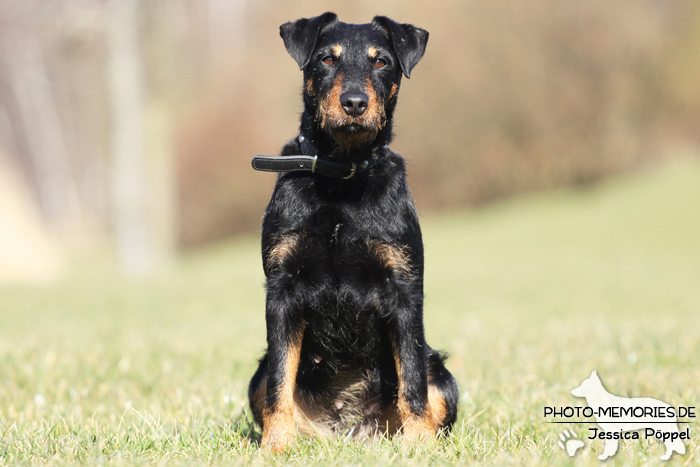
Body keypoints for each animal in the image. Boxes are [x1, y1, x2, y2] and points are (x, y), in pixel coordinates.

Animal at [247, 11, 460, 454]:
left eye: (381, 62)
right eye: (327, 59)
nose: (355, 103)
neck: (342, 179)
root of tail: (350, 429)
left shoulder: (403, 288)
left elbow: (412, 379)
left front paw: (419, 445)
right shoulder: (282, 289)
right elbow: (279, 381)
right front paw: (276, 445)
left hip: (442, 373)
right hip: (256, 373)